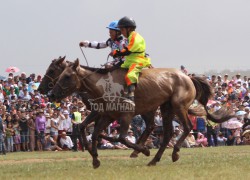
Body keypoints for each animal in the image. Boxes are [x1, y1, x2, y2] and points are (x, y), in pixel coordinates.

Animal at [49, 59, 234, 169]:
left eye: (66, 76)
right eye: (60, 73)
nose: (51, 94)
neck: (104, 86)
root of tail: (188, 77)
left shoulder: (125, 115)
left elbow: (121, 137)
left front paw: (144, 150)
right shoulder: (108, 116)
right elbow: (94, 133)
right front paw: (95, 159)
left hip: (177, 106)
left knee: (186, 127)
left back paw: (172, 153)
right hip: (165, 108)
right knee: (167, 133)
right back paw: (154, 160)